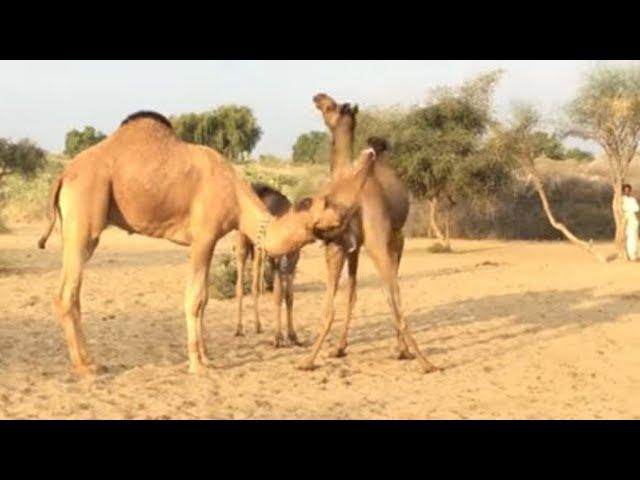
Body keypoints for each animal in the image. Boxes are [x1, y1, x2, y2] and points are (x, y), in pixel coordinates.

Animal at [235, 182, 302, 346]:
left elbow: (289, 296)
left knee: (255, 284)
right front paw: (278, 338)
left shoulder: (292, 261)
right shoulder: (276, 262)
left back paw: (258, 326)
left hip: (258, 250)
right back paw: (239, 328)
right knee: (240, 284)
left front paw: (293, 335)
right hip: (243, 243)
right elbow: (278, 295)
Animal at [300, 93, 440, 372]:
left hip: (381, 243)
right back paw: (412, 354)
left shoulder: (349, 244)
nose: (317, 97)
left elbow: (348, 296)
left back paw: (421, 359)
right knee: (391, 294)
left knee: (393, 296)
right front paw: (340, 348)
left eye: (330, 106)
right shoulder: (352, 245)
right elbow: (352, 294)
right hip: (378, 243)